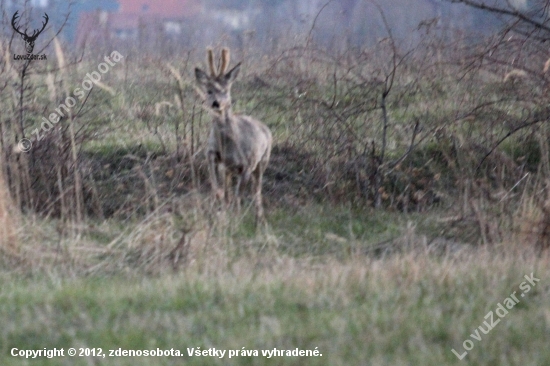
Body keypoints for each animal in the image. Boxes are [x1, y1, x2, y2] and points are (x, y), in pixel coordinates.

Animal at [196, 46, 274, 223]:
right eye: (209, 91)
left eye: (225, 90)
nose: (216, 103)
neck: (229, 144)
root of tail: (265, 128)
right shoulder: (213, 155)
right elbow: (217, 185)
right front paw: (219, 202)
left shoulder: (248, 164)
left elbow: (239, 195)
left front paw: (237, 218)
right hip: (230, 170)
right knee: (230, 191)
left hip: (262, 161)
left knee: (257, 190)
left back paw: (260, 219)